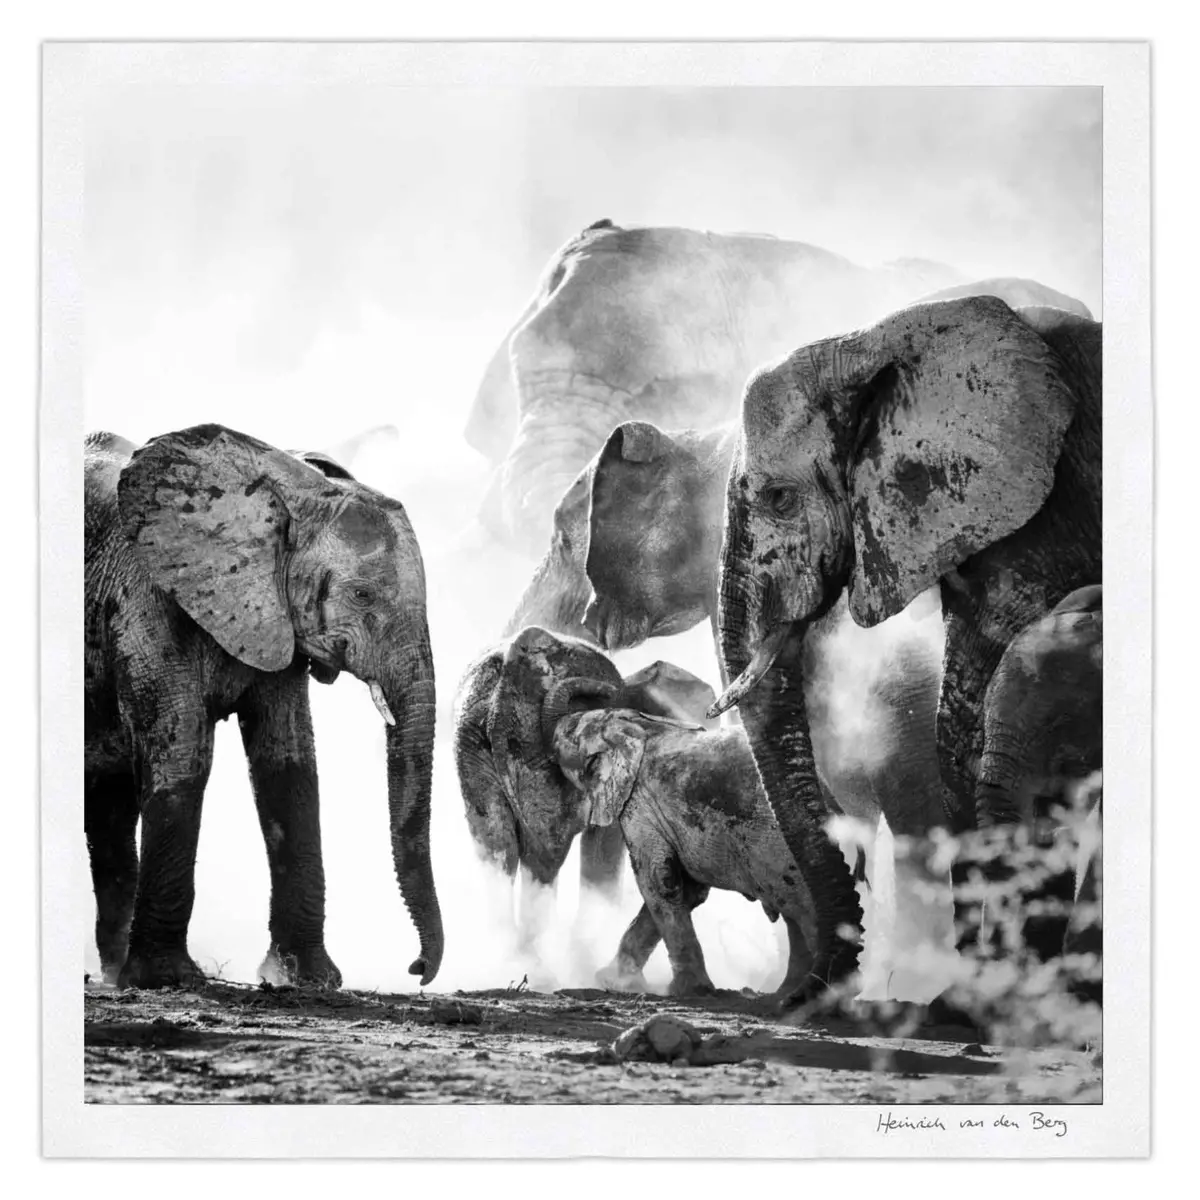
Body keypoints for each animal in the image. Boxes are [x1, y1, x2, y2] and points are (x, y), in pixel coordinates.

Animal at [84, 425, 442, 990]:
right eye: (363, 596)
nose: (417, 968)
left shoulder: (277, 619)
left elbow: (289, 765)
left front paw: (305, 979)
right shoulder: (145, 599)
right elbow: (182, 754)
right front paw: (167, 978)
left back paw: (114, 973)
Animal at [548, 700, 820, 999]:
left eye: (569, 734)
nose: (556, 726)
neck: (637, 726)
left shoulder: (640, 803)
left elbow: (660, 881)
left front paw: (685, 990)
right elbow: (688, 890)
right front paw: (613, 981)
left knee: (802, 911)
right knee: (795, 917)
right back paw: (788, 993)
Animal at [710, 295, 1101, 1005]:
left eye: (780, 498)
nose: (802, 997)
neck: (872, 341)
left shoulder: (1049, 521)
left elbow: (970, 715)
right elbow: (961, 726)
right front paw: (971, 995)